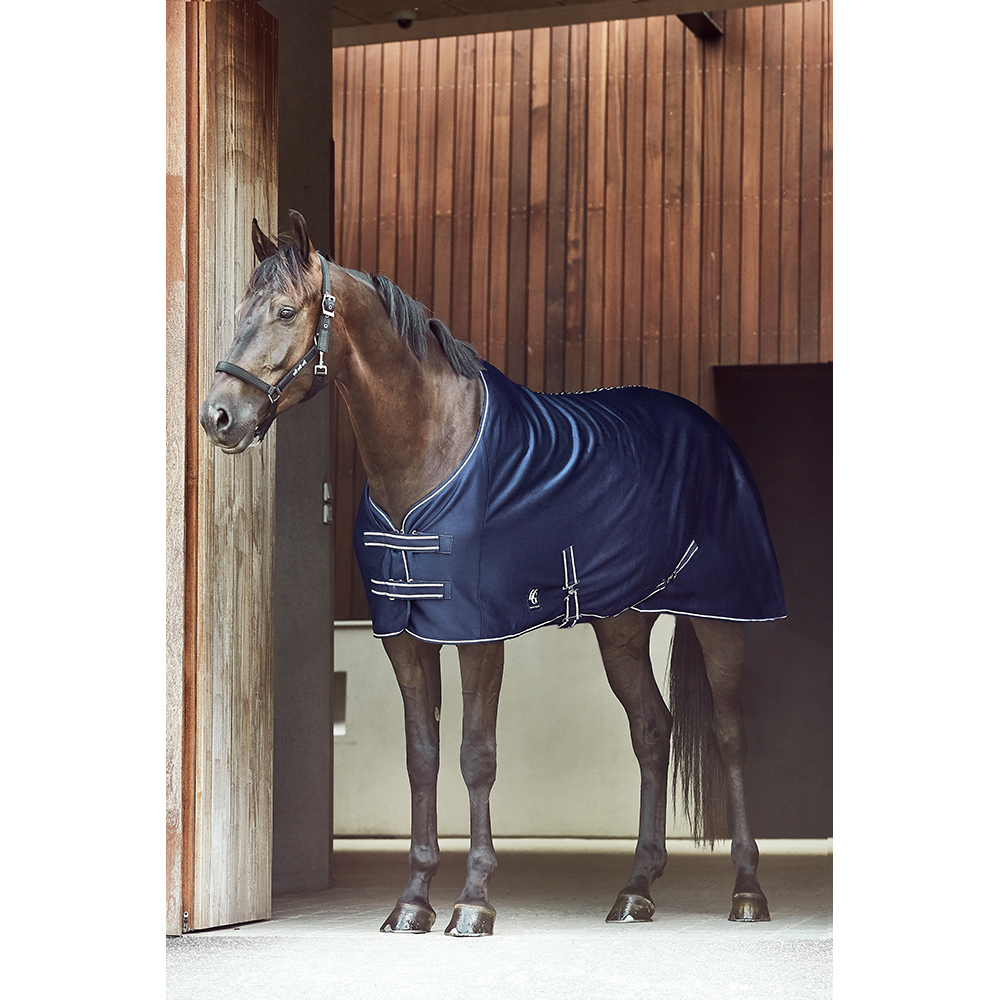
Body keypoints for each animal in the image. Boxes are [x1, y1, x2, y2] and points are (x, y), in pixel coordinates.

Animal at [200, 210, 785, 937]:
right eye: (239, 312)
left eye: (285, 311)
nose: (218, 417)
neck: (430, 449)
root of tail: (710, 431)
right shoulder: (405, 637)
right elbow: (422, 757)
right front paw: (412, 901)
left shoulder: (479, 635)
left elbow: (475, 756)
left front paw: (473, 901)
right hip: (621, 628)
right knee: (652, 731)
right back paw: (636, 891)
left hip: (721, 616)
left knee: (731, 737)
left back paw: (747, 890)